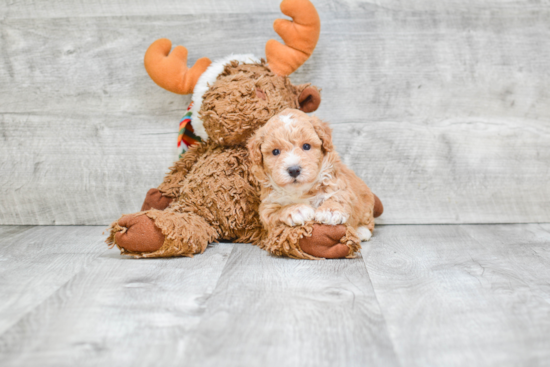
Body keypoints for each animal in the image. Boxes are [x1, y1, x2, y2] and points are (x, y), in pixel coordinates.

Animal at [250, 108, 380, 243]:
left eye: (306, 146)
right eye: (275, 151)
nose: (294, 170)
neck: (301, 192)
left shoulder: (339, 184)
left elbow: (338, 196)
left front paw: (330, 210)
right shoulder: (267, 206)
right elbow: (277, 211)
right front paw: (297, 209)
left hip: (367, 202)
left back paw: (361, 231)